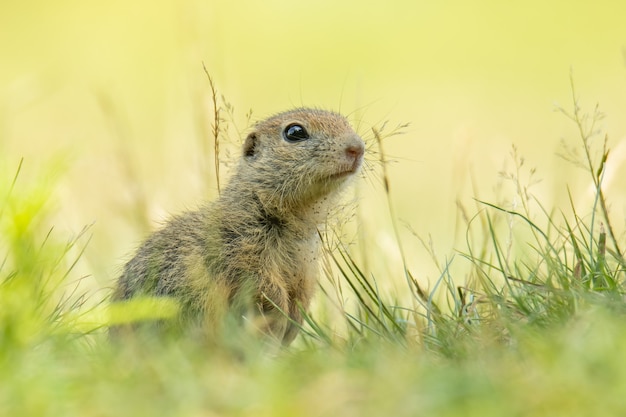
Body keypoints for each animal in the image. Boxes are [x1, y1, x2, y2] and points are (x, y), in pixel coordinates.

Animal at [112, 106, 366, 344]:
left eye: (345, 122)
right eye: (295, 132)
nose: (357, 148)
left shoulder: (305, 267)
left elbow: (301, 294)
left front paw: (292, 325)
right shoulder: (241, 253)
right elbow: (264, 289)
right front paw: (279, 319)